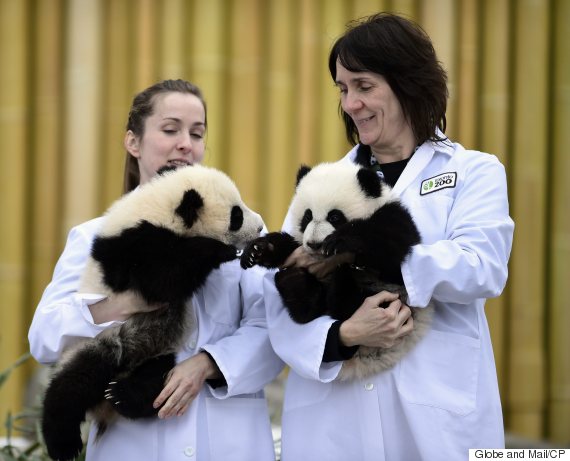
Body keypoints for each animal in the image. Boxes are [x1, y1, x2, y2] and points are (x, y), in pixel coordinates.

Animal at [41, 164, 262, 458]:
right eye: (236, 215)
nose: (260, 226)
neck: (157, 208)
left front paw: (249, 253)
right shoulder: (128, 249)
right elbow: (161, 278)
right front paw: (222, 250)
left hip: (159, 350)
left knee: (152, 381)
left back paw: (123, 396)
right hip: (99, 343)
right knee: (71, 386)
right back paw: (63, 443)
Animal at [240, 162, 430, 380]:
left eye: (335, 216)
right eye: (307, 216)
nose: (315, 244)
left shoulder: (393, 217)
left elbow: (391, 244)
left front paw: (342, 240)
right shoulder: (300, 245)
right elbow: (288, 245)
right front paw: (258, 250)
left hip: (395, 299)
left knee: (350, 306)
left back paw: (342, 282)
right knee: (311, 310)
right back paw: (294, 282)